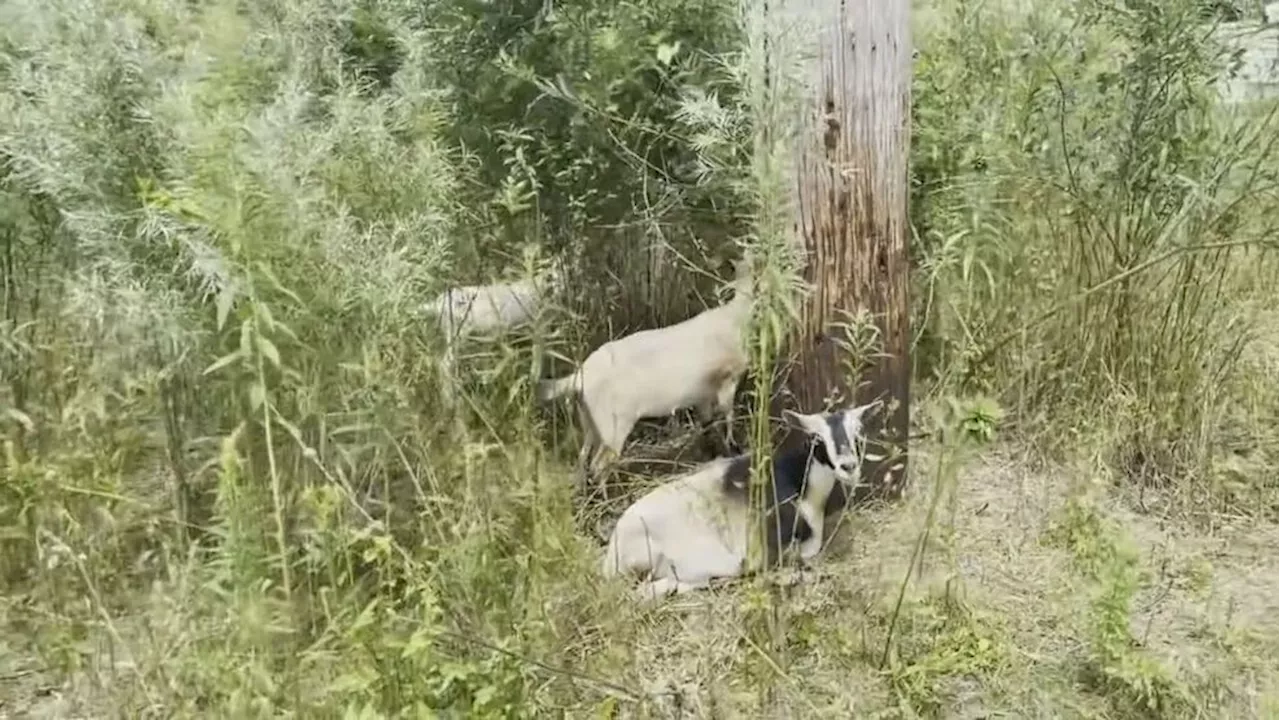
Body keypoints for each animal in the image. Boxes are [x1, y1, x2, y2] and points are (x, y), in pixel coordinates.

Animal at [535, 260, 752, 479]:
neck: (735, 316)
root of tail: (579, 377)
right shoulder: (726, 379)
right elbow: (728, 416)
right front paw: (732, 448)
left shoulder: (703, 394)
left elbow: (708, 424)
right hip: (613, 424)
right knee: (598, 465)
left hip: (589, 420)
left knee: (583, 459)